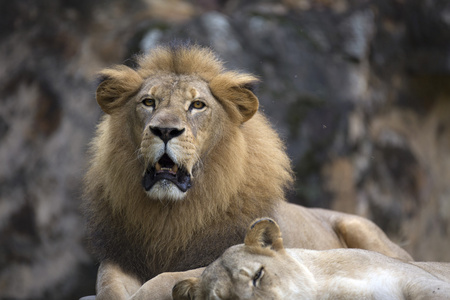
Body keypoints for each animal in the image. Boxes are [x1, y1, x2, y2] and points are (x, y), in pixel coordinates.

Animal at [82, 43, 414, 298]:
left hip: (364, 230)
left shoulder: (224, 255)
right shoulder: (122, 255)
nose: (165, 130)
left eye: (197, 105)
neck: (171, 214)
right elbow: (107, 285)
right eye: (148, 102)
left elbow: (163, 280)